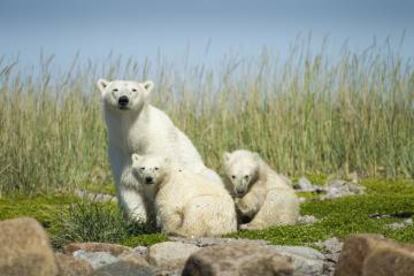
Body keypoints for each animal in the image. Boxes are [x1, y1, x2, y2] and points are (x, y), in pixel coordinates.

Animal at [96, 79, 222, 222]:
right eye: (115, 89)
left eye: (134, 89)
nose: (123, 99)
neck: (136, 138)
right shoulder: (119, 152)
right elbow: (128, 188)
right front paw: (139, 221)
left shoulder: (161, 148)